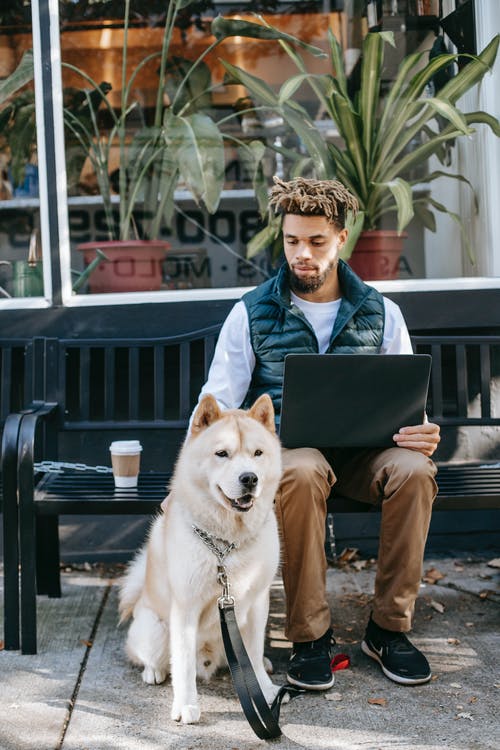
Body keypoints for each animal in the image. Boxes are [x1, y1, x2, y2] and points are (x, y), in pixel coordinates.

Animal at [116, 396, 282, 724]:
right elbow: (182, 664)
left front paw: (263, 686)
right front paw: (186, 705)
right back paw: (153, 671)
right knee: (153, 657)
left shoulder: (258, 602)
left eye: (258, 453)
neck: (228, 543)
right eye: (222, 454)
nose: (250, 478)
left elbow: (254, 651)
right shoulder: (186, 607)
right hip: (156, 630)